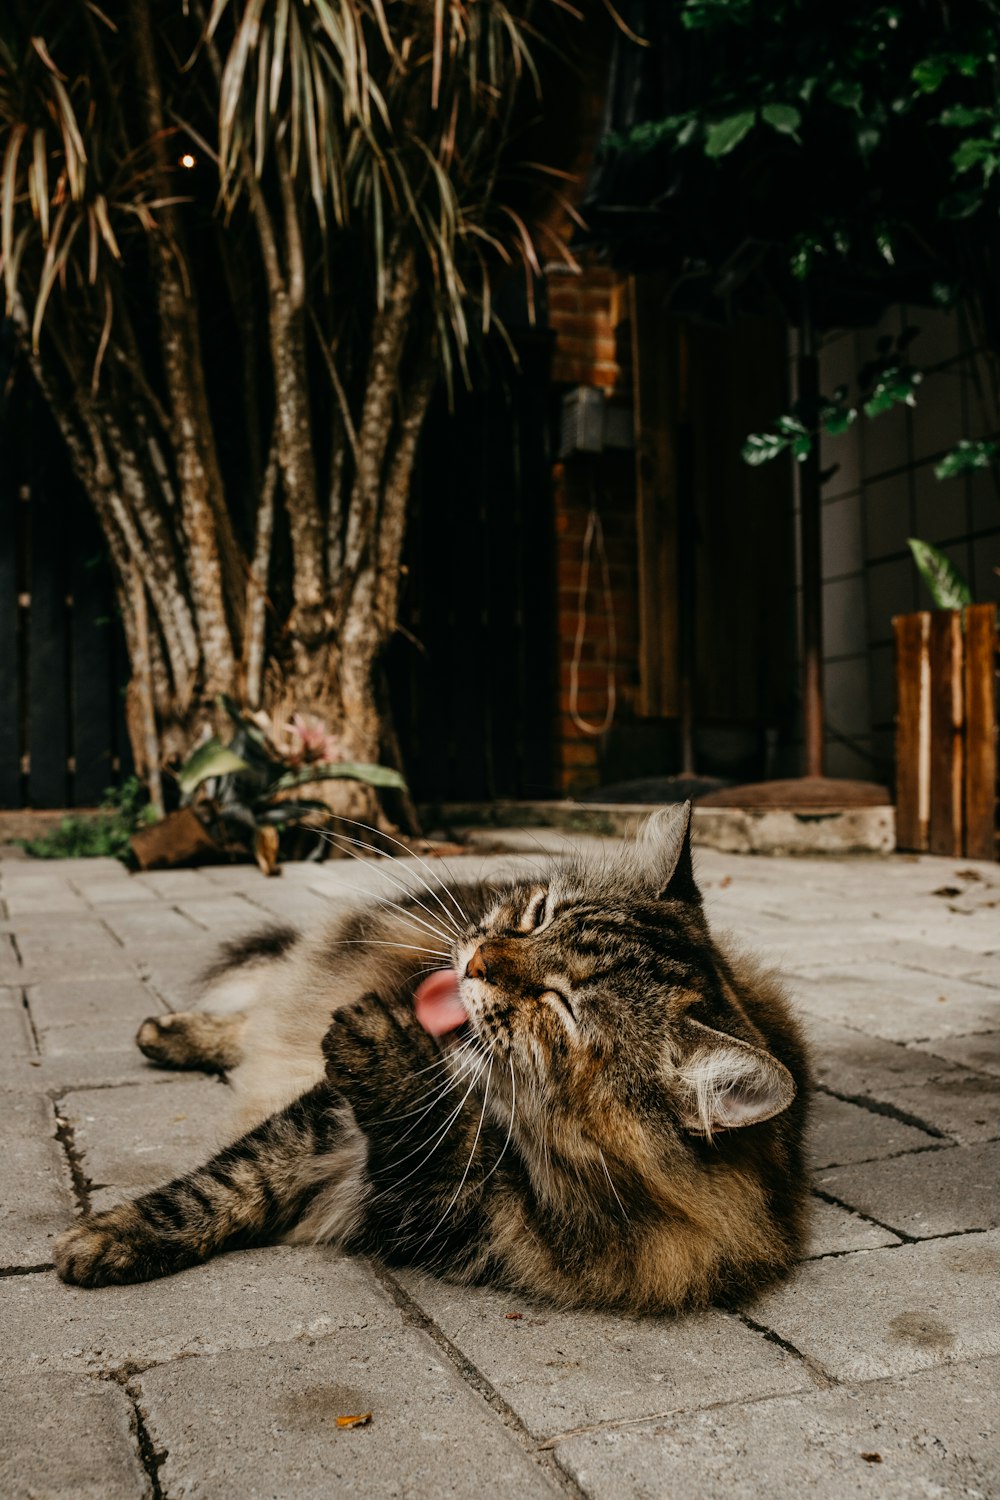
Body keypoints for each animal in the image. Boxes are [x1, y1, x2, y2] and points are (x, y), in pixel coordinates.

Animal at [50, 810, 809, 1314]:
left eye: (562, 1006)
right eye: (537, 915)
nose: (475, 961)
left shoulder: (442, 1214)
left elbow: (412, 1121)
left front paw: (388, 1053)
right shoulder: (323, 1120)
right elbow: (222, 1184)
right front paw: (111, 1236)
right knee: (267, 1006)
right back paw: (169, 1032)